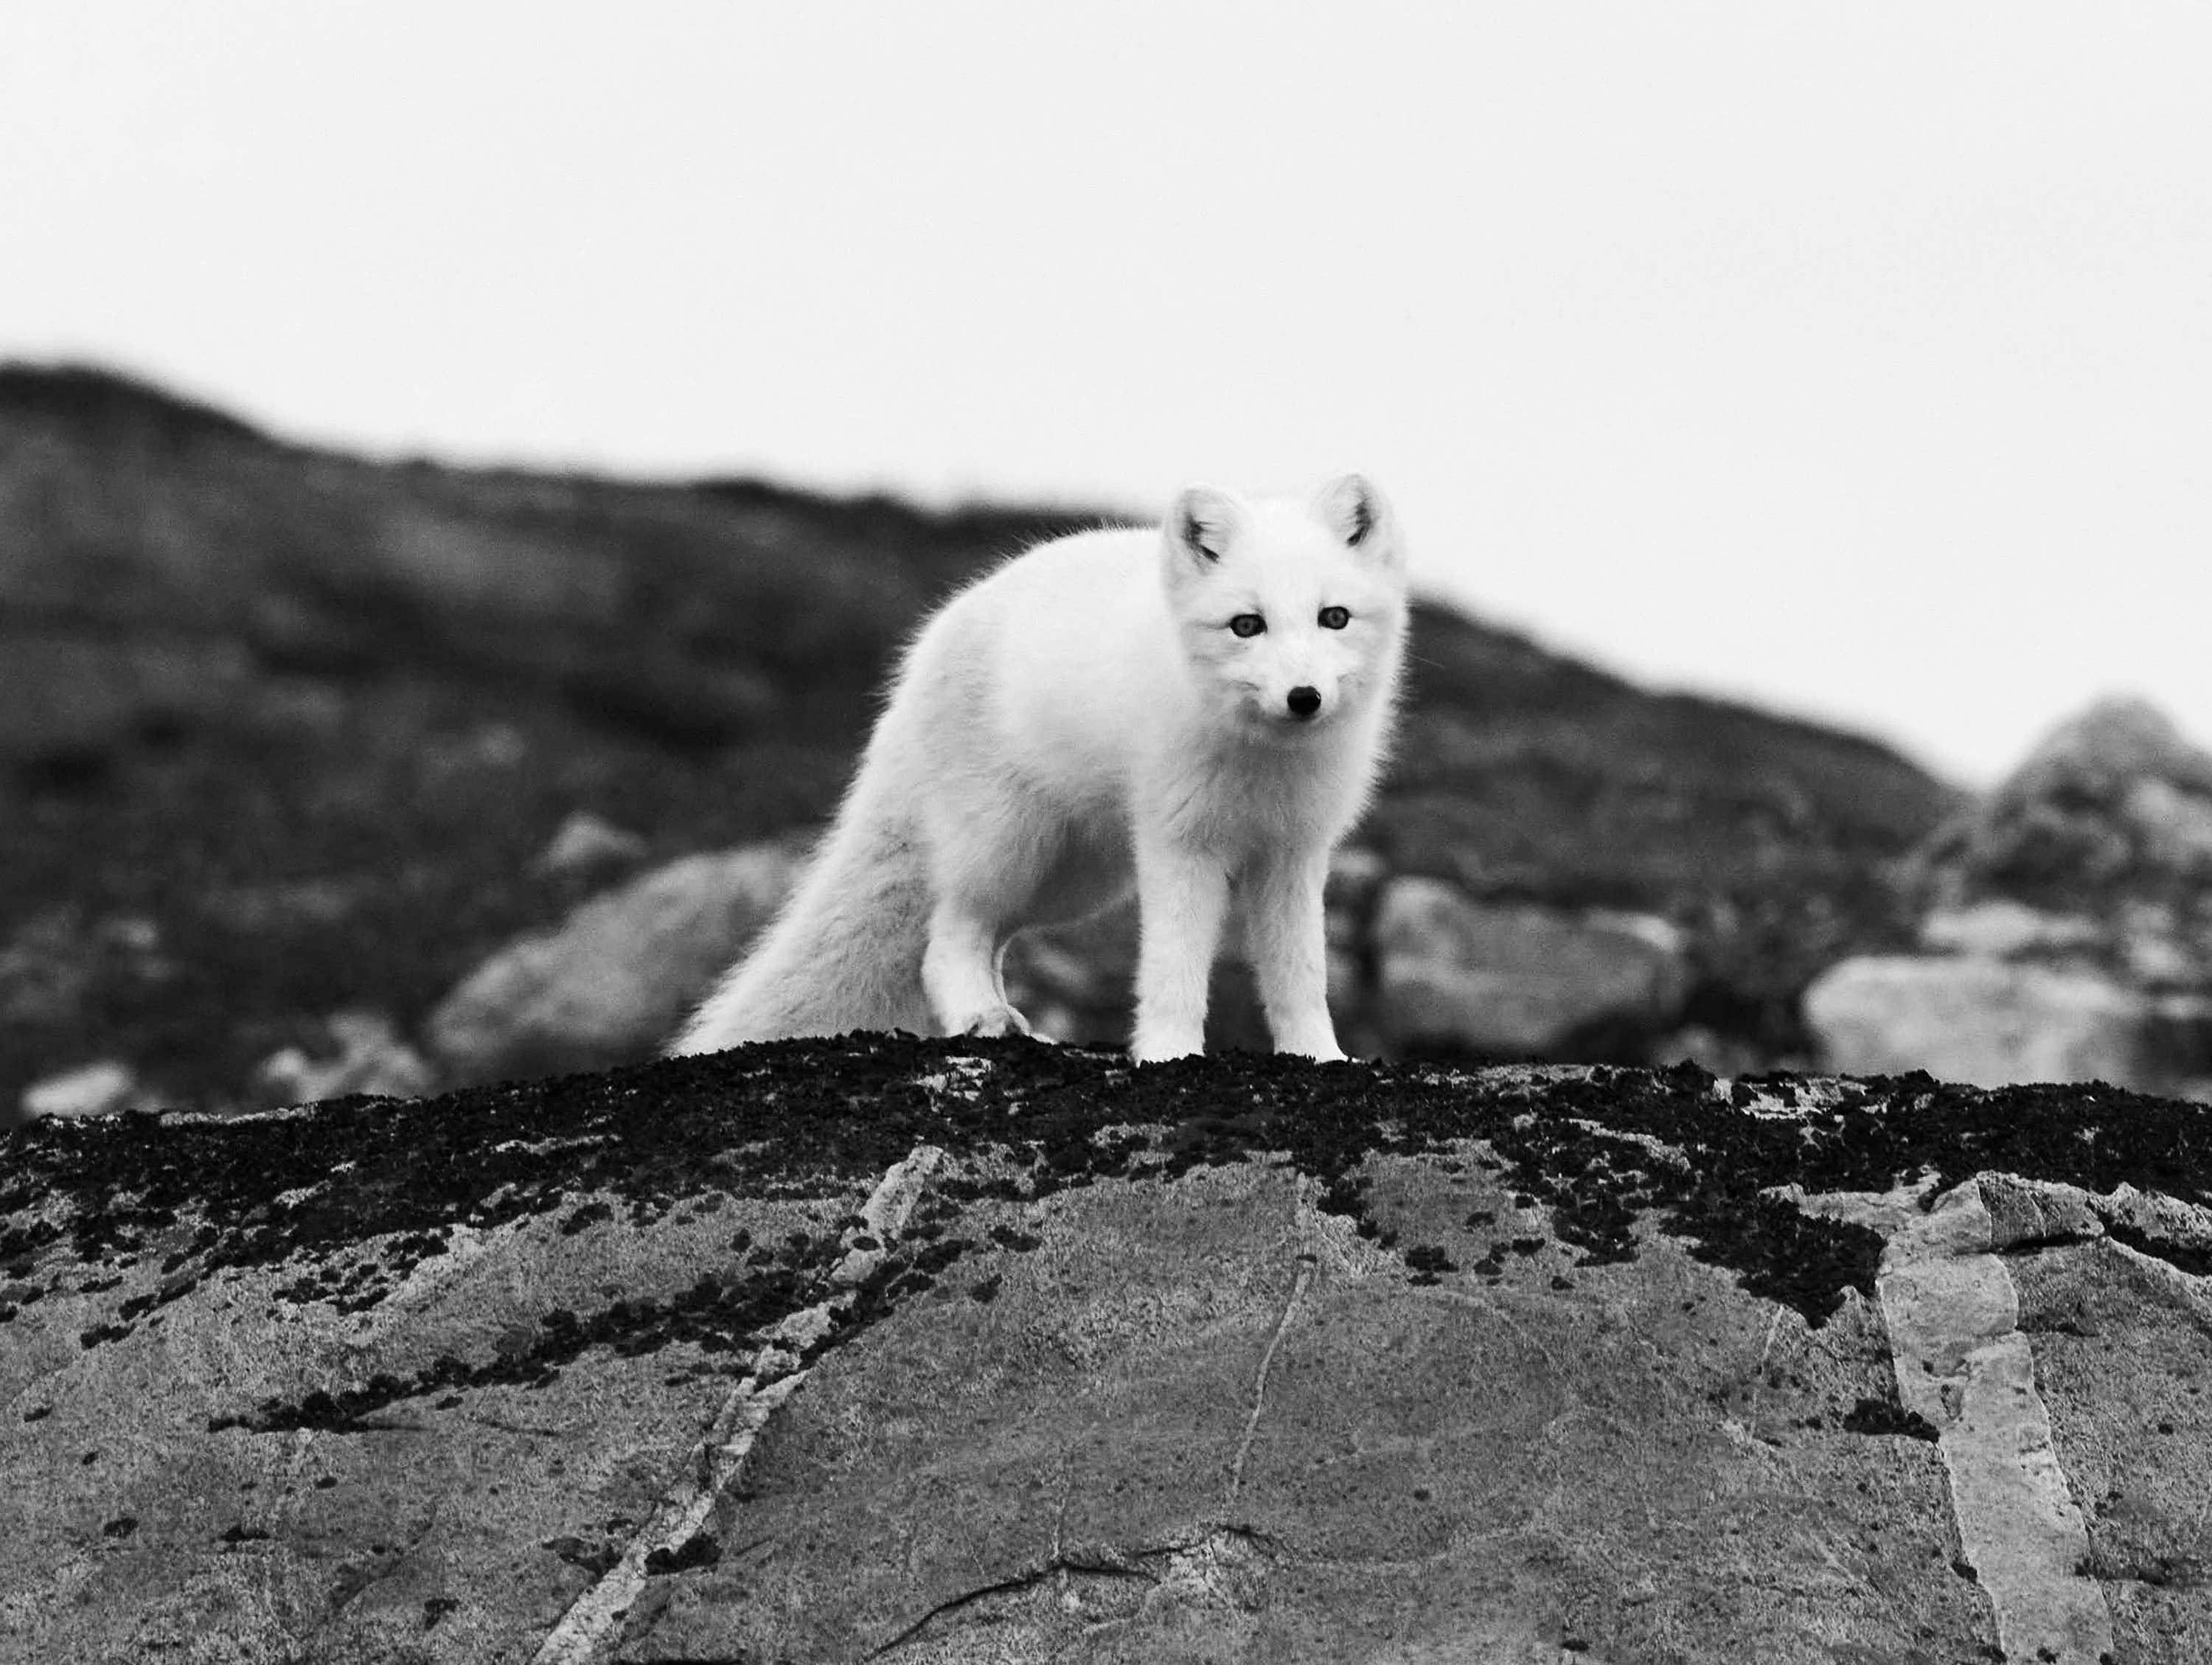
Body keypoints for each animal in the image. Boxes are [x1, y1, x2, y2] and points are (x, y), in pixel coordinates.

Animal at [669, 473, 1410, 1064]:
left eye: (1334, 617)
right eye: (1246, 625)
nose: (1304, 698)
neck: (1266, 767)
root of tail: (931, 642)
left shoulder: (1295, 853)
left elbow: (1302, 975)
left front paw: (1321, 1059)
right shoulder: (1179, 844)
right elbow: (1173, 970)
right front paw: (1169, 1056)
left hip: (1076, 877)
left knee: (990, 938)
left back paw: (1015, 1026)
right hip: (1009, 844)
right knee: (948, 935)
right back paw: (984, 1018)